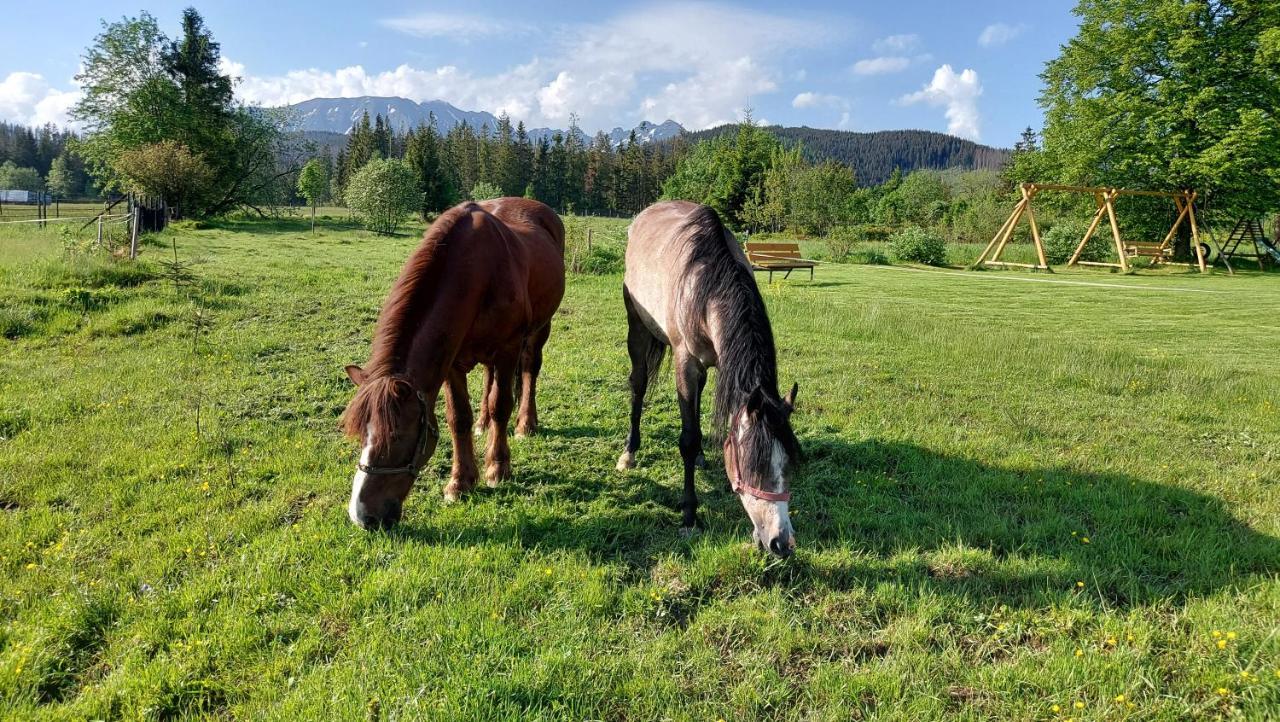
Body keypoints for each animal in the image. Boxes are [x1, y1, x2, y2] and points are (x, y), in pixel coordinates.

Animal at [343, 197, 563, 529]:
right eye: (361, 435)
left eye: (395, 437)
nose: (362, 516)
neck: (478, 273)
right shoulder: (451, 363)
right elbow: (458, 418)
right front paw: (460, 482)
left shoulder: (508, 349)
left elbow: (502, 405)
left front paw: (497, 469)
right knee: (488, 380)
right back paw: (483, 424)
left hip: (539, 331)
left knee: (529, 371)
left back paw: (526, 423)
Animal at [616, 199, 798, 555]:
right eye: (751, 464)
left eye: (787, 466)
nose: (781, 542)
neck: (706, 286)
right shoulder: (685, 362)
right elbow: (687, 438)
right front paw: (689, 515)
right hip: (638, 328)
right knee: (638, 385)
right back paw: (629, 452)